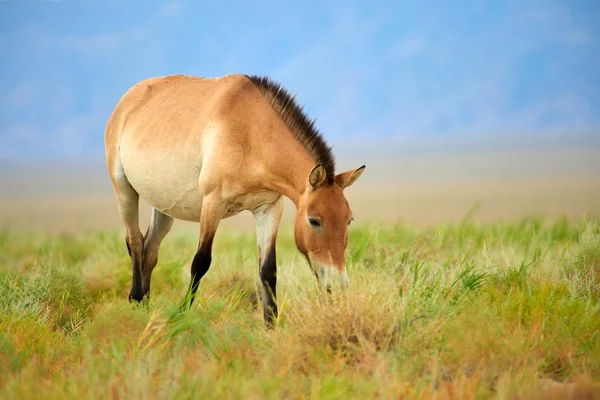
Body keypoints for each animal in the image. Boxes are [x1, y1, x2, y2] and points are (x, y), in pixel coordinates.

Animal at [103, 73, 366, 326]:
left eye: (349, 220)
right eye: (314, 221)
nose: (339, 284)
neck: (250, 133)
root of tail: (128, 100)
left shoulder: (269, 209)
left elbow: (268, 269)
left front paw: (271, 325)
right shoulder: (213, 203)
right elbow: (200, 262)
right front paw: (182, 314)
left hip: (163, 206)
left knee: (150, 251)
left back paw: (145, 308)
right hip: (124, 190)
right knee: (135, 242)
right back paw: (137, 300)